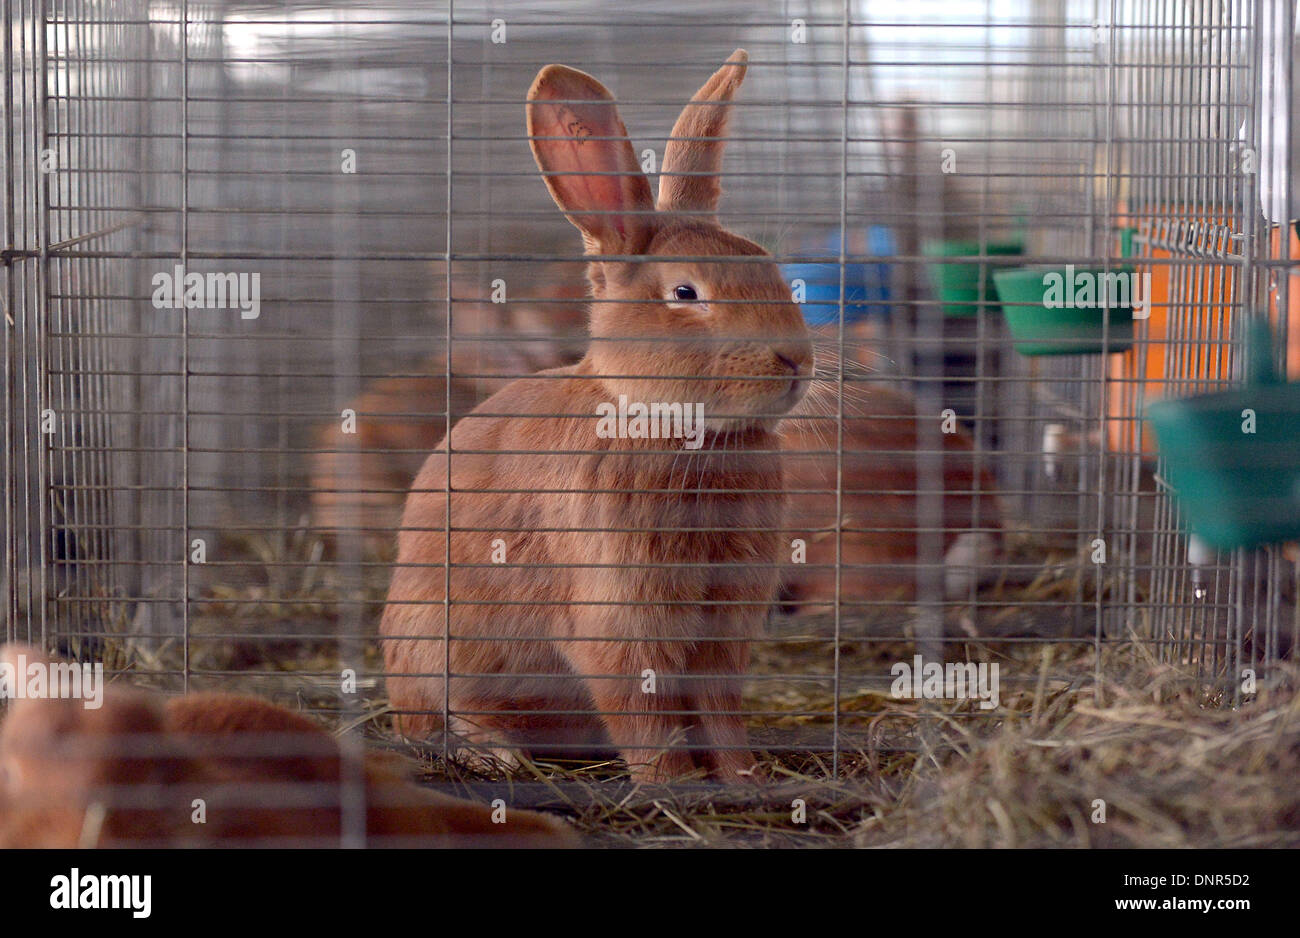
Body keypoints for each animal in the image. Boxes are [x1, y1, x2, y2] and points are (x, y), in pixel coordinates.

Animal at [381, 49, 814, 783]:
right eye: (686, 293)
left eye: (770, 269)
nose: (796, 360)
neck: (674, 427)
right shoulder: (616, 615)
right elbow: (641, 713)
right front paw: (675, 787)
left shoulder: (722, 631)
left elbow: (720, 711)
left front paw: (742, 778)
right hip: (433, 645)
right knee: (434, 720)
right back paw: (495, 754)